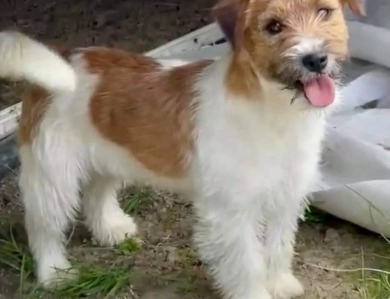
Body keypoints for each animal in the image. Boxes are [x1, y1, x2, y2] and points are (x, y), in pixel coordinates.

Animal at [0, 0, 366, 298]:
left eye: (324, 12)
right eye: (273, 26)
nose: (315, 59)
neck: (273, 110)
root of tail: (64, 56)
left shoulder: (285, 197)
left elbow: (279, 247)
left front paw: (279, 284)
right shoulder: (232, 214)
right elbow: (247, 263)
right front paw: (256, 293)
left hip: (109, 157)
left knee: (97, 194)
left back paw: (111, 229)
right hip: (53, 177)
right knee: (43, 227)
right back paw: (54, 274)